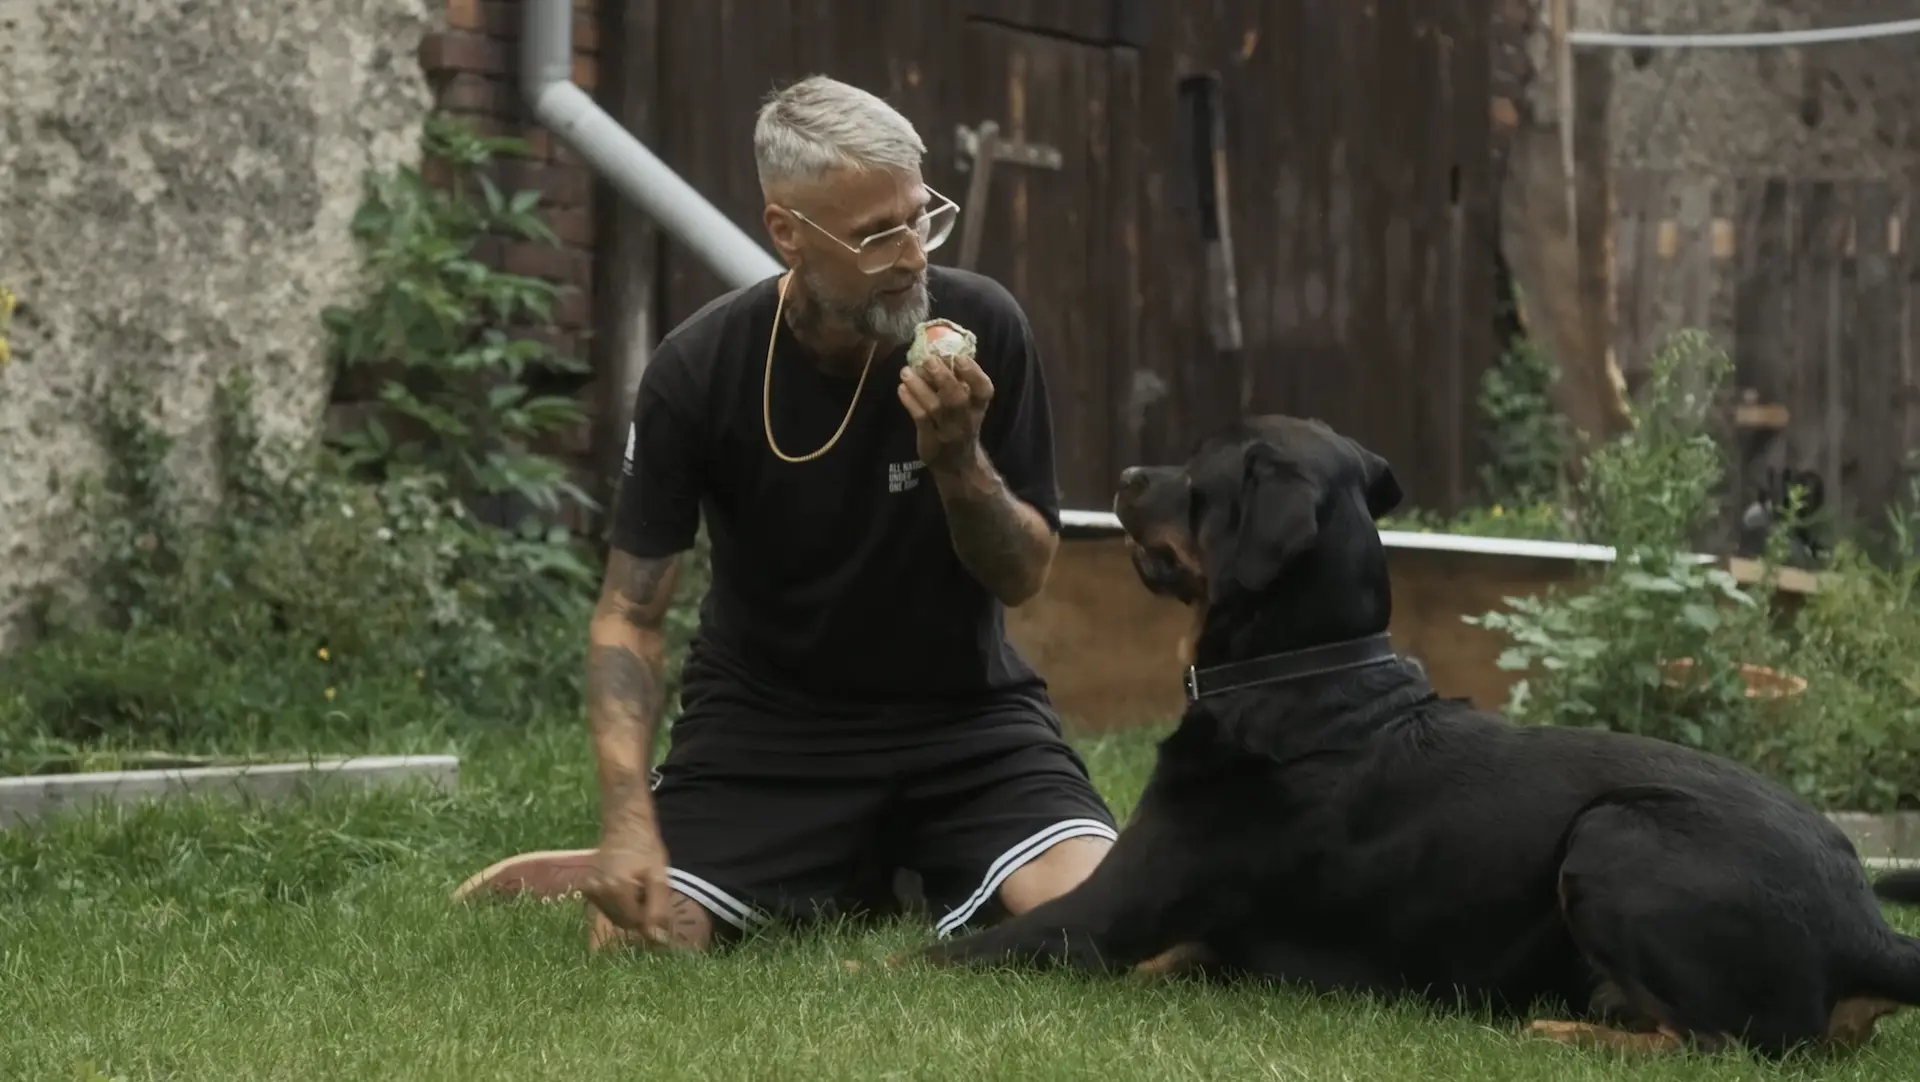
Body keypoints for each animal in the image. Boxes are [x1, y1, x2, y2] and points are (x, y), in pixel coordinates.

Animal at [929, 414, 1920, 1058]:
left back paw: (1569, 1033)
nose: (1130, 477)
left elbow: (936, 954)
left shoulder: (1098, 917)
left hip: (1615, 834)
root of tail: (1867, 928)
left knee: (1721, 1042)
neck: (1305, 679)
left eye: (1199, 473)